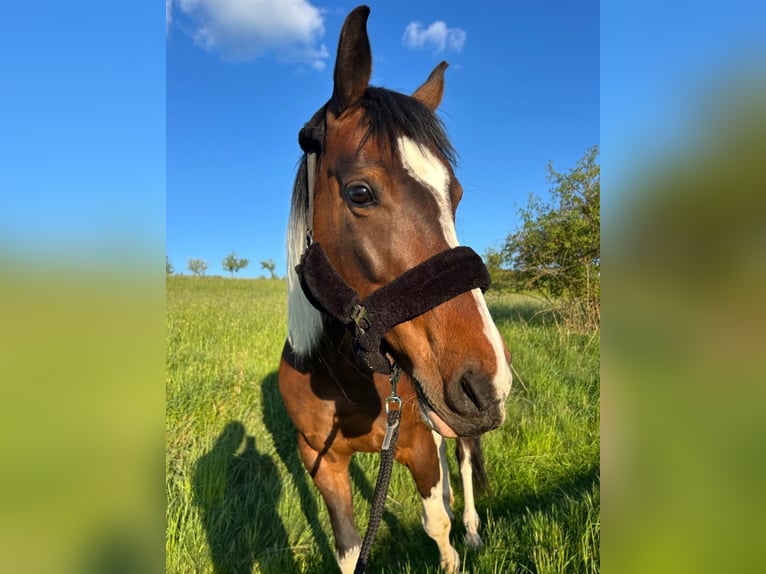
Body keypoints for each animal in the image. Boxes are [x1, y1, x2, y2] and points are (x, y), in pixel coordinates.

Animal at [278, 6, 513, 573]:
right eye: (360, 193)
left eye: (455, 195)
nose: (489, 380)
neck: (342, 376)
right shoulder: (322, 463)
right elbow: (349, 551)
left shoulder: (415, 446)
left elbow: (437, 526)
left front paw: (457, 546)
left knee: (463, 462)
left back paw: (474, 530)